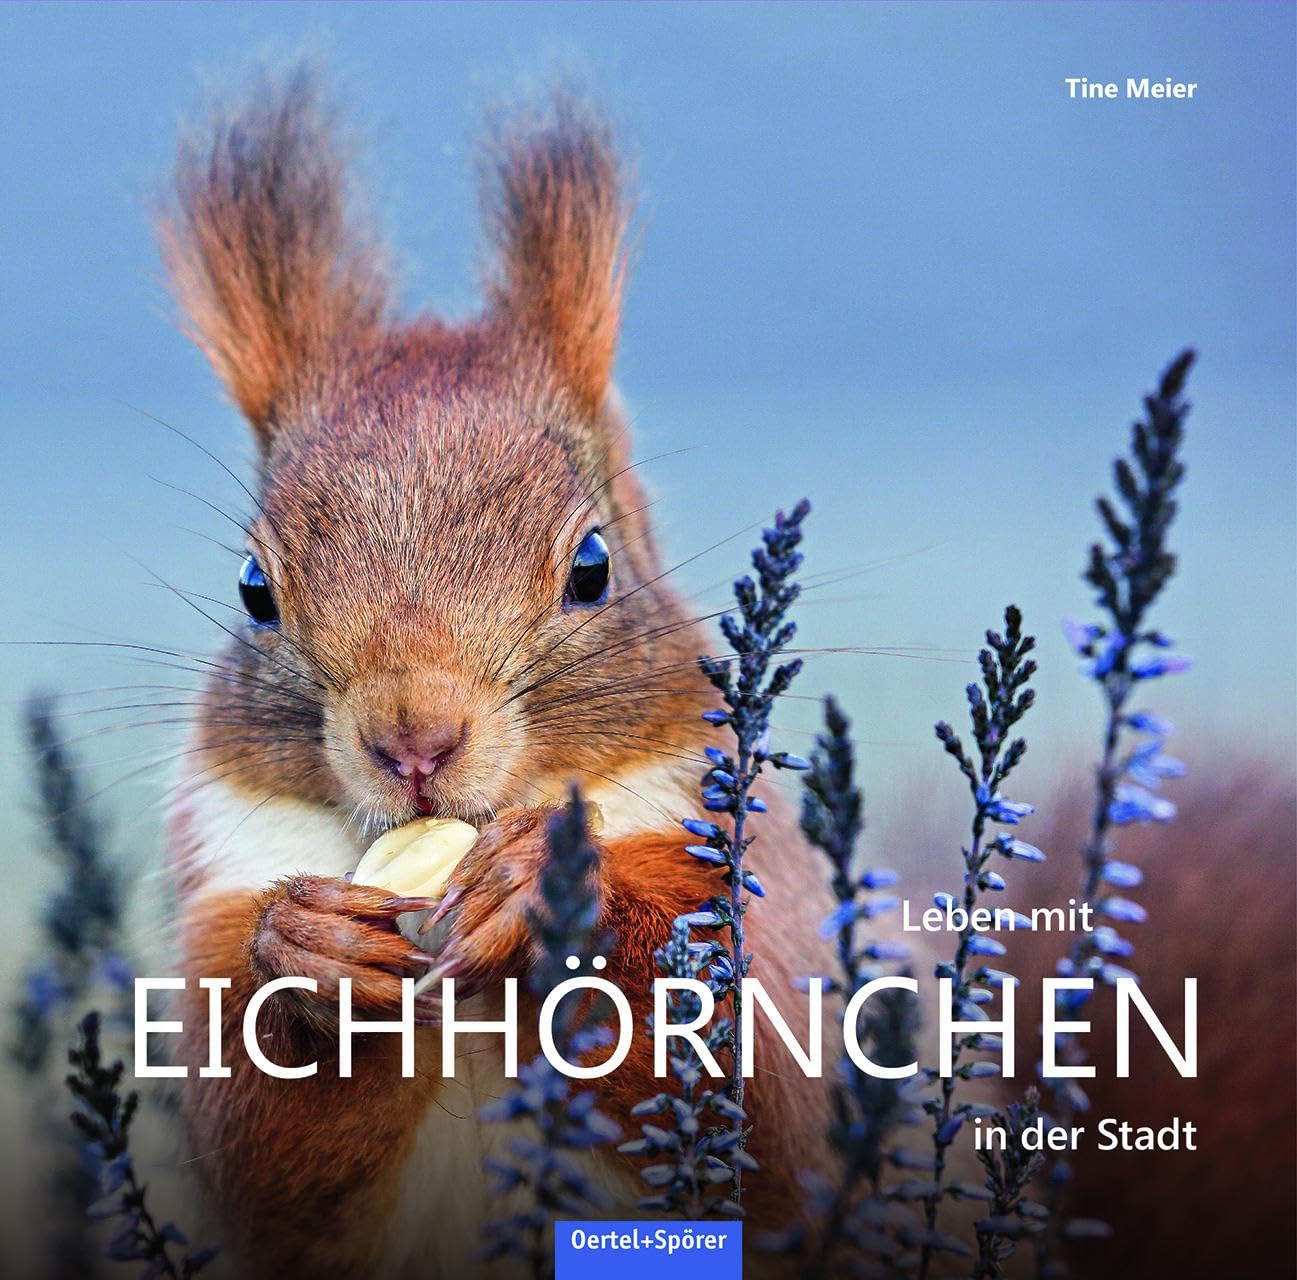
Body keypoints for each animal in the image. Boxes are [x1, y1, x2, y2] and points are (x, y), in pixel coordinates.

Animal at [160, 72, 838, 1278]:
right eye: (252, 587)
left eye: (592, 566)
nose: (414, 740)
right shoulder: (220, 895)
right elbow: (266, 1157)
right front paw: (307, 953)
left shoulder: (755, 892)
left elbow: (765, 1103)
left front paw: (545, 887)